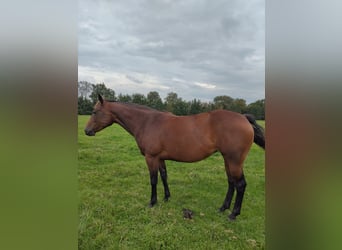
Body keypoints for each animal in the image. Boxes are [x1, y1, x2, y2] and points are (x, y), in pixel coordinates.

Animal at [85, 94, 264, 220]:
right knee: (231, 182)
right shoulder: (160, 158)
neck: (147, 122)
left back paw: (233, 214)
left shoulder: (151, 157)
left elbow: (153, 180)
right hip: (227, 159)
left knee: (240, 184)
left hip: (234, 161)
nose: (87, 131)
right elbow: (164, 176)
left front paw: (152, 202)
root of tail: (243, 118)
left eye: (94, 112)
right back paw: (223, 208)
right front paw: (166, 197)